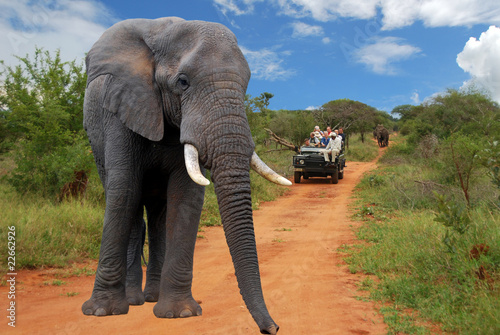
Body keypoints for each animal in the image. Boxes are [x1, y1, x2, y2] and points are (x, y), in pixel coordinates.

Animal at [81, 17, 290, 334]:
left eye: (246, 84)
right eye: (183, 82)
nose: (272, 328)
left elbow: (186, 197)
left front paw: (179, 314)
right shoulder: (119, 109)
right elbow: (124, 191)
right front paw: (101, 312)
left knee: (158, 216)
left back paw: (152, 298)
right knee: (132, 208)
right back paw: (133, 301)